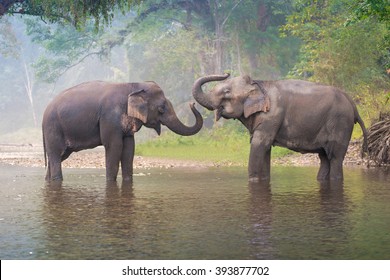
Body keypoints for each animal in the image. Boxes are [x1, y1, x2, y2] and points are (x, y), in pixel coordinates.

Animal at [43, 80, 203, 182]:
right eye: (161, 109)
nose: (192, 103)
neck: (132, 85)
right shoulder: (110, 117)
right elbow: (114, 146)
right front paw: (110, 182)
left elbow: (129, 148)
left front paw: (127, 181)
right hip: (53, 128)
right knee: (56, 155)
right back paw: (57, 180)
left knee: (59, 156)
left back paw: (48, 180)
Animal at [193, 72, 368, 182]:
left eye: (227, 92)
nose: (226, 72)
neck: (259, 84)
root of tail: (353, 105)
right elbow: (264, 149)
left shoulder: (272, 116)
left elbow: (259, 145)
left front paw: (253, 181)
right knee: (324, 157)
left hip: (340, 123)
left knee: (335, 157)